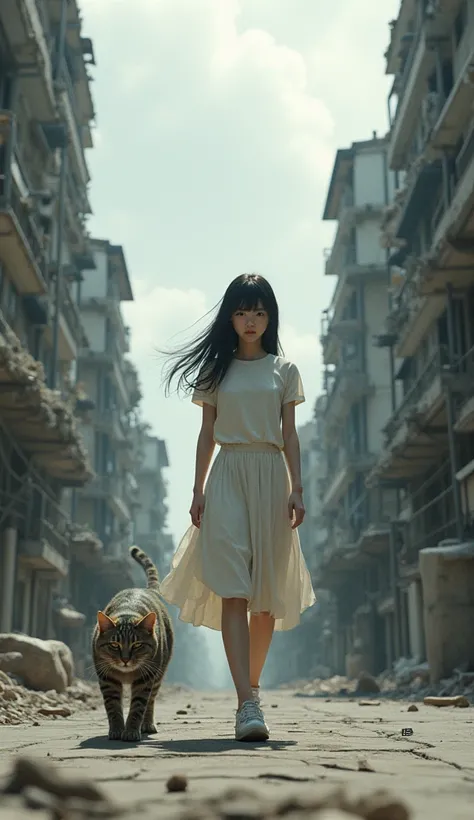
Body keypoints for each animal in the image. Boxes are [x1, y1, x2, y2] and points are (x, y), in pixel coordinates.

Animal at [92, 544, 174, 744]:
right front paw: (116, 730)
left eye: (137, 645)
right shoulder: (107, 678)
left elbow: (138, 706)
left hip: (159, 672)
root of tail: (147, 589)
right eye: (114, 645)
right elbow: (113, 706)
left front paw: (130, 731)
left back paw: (147, 724)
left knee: (151, 700)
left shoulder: (146, 678)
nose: (125, 659)